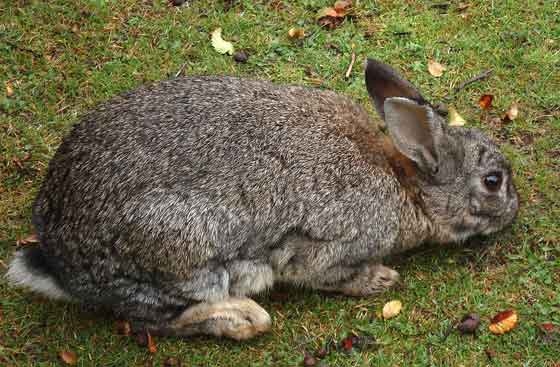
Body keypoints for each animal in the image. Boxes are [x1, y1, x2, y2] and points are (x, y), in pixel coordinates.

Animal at [6, 59, 520, 340]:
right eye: (493, 181)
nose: (515, 209)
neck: (407, 182)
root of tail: (61, 266)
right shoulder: (324, 249)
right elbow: (324, 274)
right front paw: (379, 280)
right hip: (179, 252)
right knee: (152, 321)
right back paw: (241, 319)